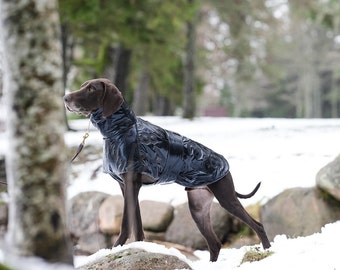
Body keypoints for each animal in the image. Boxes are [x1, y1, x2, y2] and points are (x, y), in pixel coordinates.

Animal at [63, 78, 270, 262]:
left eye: (91, 89)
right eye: (83, 86)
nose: (65, 98)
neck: (119, 130)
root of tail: (225, 166)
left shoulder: (131, 183)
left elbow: (126, 224)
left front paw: (116, 248)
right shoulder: (127, 186)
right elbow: (137, 223)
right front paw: (138, 246)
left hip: (226, 198)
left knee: (258, 225)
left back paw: (268, 250)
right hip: (198, 207)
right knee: (214, 243)